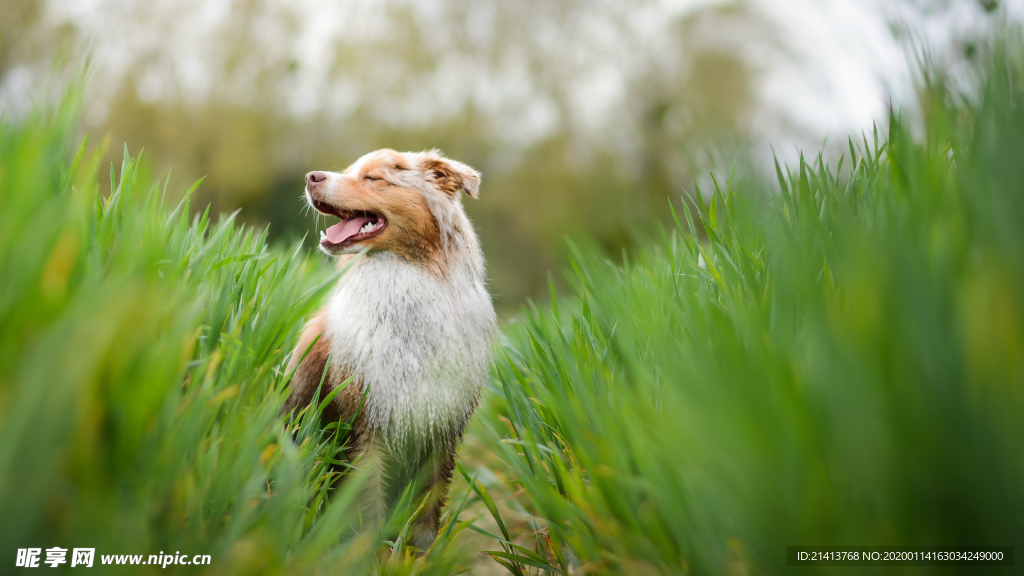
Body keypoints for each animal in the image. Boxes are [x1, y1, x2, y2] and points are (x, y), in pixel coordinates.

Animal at [282, 146, 497, 545]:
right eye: (350, 171)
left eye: (373, 178)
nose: (311, 177)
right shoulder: (366, 424)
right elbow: (366, 513)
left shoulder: (441, 429)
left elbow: (425, 516)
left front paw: (420, 554)